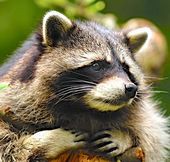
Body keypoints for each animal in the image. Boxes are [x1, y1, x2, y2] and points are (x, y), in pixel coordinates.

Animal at [0, 10, 169, 161]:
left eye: (126, 68)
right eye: (96, 65)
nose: (130, 89)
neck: (86, 109)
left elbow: (153, 135)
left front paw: (125, 136)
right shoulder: (11, 100)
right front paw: (44, 142)